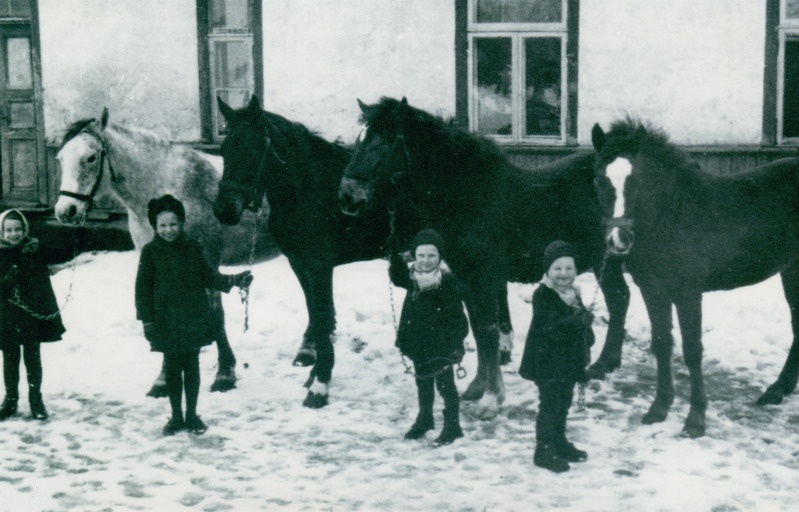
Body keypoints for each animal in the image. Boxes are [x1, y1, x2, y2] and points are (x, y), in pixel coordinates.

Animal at [54, 108, 276, 396]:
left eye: (91, 157)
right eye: (60, 158)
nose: (65, 211)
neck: (167, 191)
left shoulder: (207, 264)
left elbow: (216, 316)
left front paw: (225, 373)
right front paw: (163, 379)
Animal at [338, 97, 632, 420]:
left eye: (382, 144)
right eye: (359, 141)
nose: (347, 198)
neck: (469, 197)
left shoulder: (483, 278)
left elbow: (488, 332)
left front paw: (491, 399)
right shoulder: (467, 278)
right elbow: (479, 331)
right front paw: (477, 387)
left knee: (619, 299)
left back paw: (602, 365)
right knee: (620, 298)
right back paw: (607, 364)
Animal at [592, 117, 799, 436]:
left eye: (636, 180)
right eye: (599, 179)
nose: (619, 240)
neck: (671, 216)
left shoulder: (687, 292)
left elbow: (692, 350)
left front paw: (695, 420)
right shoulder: (652, 289)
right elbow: (662, 342)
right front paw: (659, 408)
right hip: (791, 270)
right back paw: (777, 391)